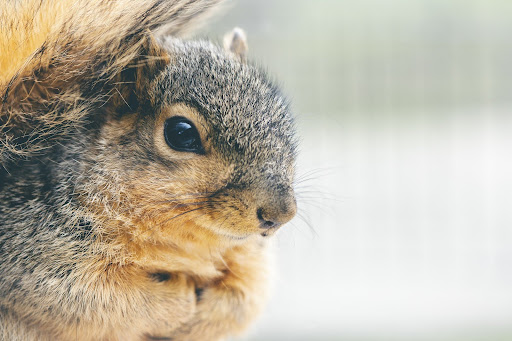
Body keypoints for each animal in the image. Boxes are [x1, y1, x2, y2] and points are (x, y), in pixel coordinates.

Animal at [0, 0, 298, 340]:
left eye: (282, 118)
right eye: (181, 133)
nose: (281, 214)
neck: (186, 245)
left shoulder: (247, 257)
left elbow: (245, 298)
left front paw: (208, 313)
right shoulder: (32, 246)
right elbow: (90, 297)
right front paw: (178, 301)